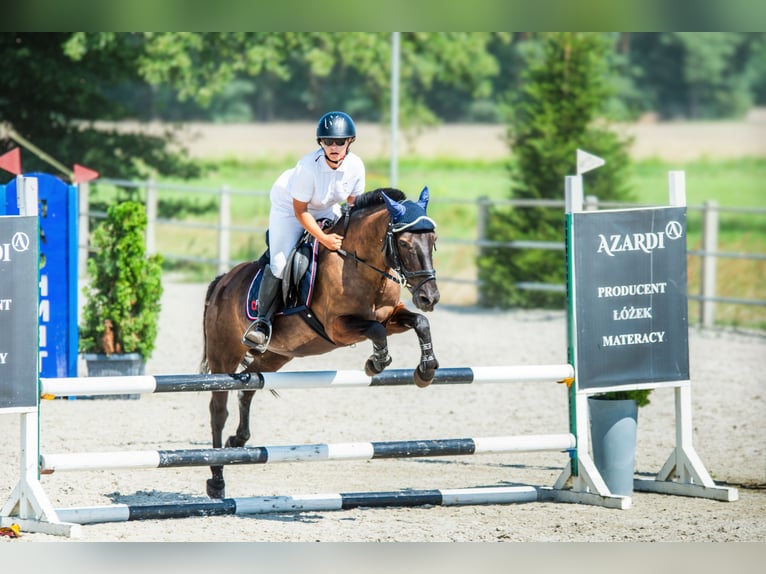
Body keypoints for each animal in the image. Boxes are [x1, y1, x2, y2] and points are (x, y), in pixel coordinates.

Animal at [200, 186, 440, 498]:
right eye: (404, 242)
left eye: (433, 240)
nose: (429, 297)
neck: (361, 264)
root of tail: (222, 282)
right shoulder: (338, 328)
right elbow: (376, 330)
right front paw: (376, 363)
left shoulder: (391, 315)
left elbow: (419, 323)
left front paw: (426, 370)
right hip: (223, 355)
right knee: (218, 409)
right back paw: (217, 481)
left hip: (277, 354)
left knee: (249, 386)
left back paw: (238, 441)